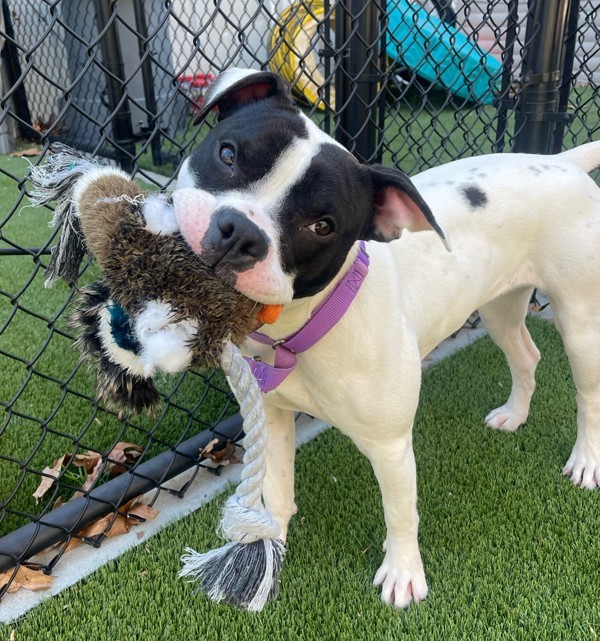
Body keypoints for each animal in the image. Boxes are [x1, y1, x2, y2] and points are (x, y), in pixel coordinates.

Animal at [175, 69, 600, 604]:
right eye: (228, 154)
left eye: (322, 225)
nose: (238, 232)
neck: (297, 331)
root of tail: (562, 162)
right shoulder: (272, 417)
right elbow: (278, 489)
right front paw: (266, 548)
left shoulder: (392, 446)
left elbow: (401, 513)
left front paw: (403, 574)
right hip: (498, 307)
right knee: (526, 355)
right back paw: (514, 415)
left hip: (581, 324)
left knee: (588, 396)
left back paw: (586, 461)